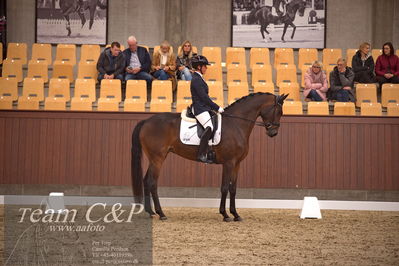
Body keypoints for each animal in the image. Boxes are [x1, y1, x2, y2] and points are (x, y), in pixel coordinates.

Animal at [133, 92, 290, 221]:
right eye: (279, 111)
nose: (273, 133)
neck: (236, 124)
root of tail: (146, 121)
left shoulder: (237, 163)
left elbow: (233, 188)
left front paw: (236, 214)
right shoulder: (229, 162)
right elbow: (225, 187)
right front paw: (225, 214)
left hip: (154, 158)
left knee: (146, 181)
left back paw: (150, 212)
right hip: (158, 158)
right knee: (152, 183)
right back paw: (161, 213)